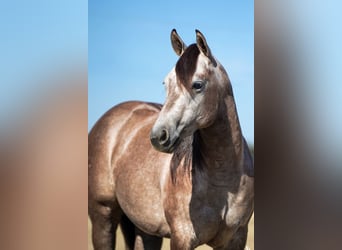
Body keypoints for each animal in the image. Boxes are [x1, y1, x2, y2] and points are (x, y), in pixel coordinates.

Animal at [88, 29, 254, 250]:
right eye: (166, 84)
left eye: (198, 85)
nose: (159, 136)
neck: (223, 182)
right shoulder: (182, 237)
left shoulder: (236, 238)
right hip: (103, 215)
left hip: (145, 229)